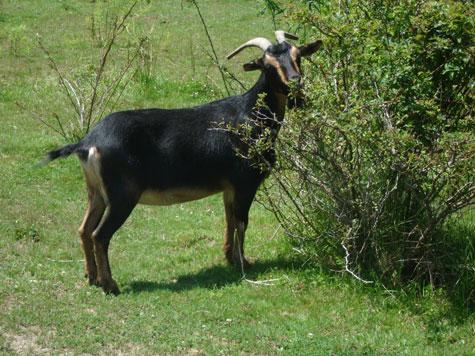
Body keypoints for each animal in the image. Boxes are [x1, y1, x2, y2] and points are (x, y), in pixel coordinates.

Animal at [43, 30, 324, 294]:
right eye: (267, 65)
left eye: (297, 56)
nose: (296, 83)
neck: (251, 116)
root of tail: (87, 143)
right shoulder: (246, 182)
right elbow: (242, 221)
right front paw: (244, 262)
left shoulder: (229, 186)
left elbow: (229, 219)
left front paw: (230, 257)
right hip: (122, 195)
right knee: (99, 235)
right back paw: (109, 285)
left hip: (96, 192)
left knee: (84, 229)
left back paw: (91, 277)